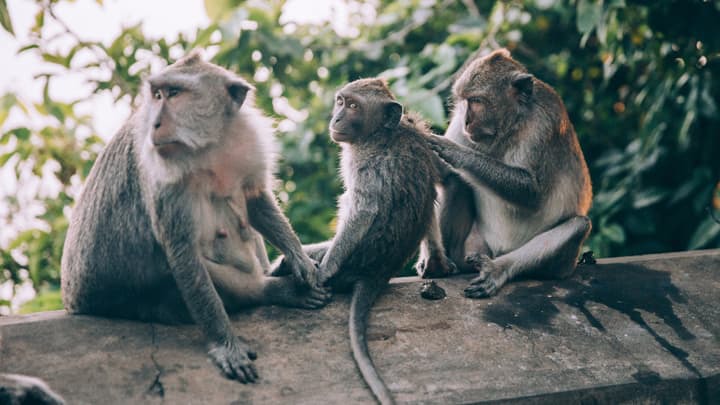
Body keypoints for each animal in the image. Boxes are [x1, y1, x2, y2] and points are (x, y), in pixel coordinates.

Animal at [62, 50, 330, 382]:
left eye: (175, 93)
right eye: (158, 95)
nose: (155, 123)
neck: (208, 146)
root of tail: (75, 302)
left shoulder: (247, 139)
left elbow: (254, 198)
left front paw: (299, 259)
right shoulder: (164, 177)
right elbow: (183, 253)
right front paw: (226, 345)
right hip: (134, 302)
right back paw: (271, 290)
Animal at [424, 48, 592, 296]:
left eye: (477, 101)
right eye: (465, 101)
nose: (466, 122)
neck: (510, 126)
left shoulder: (544, 124)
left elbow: (532, 192)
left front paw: (453, 150)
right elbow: (443, 174)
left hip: (562, 265)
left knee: (578, 226)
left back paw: (497, 269)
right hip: (473, 246)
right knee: (457, 180)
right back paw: (442, 264)